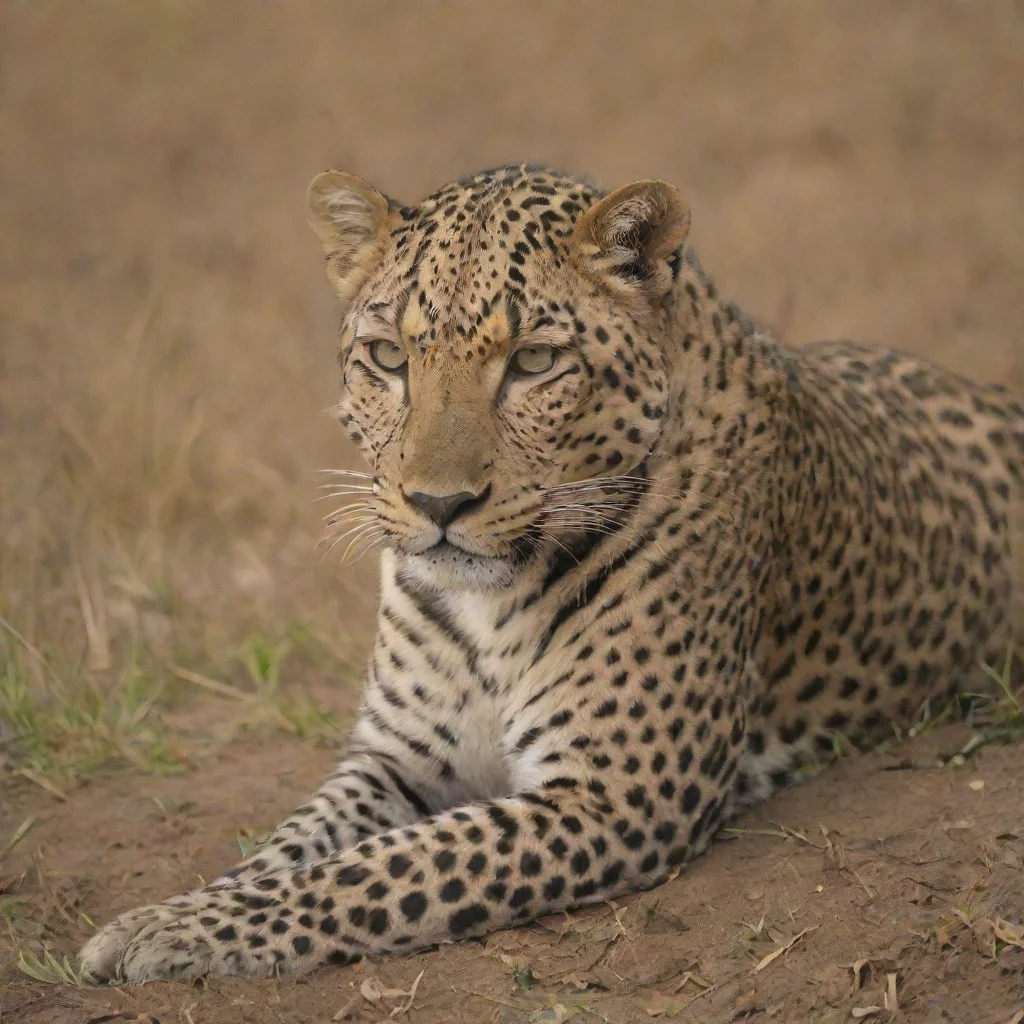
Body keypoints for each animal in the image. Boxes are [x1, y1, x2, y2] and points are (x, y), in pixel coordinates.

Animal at [79, 164, 1023, 983]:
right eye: (388, 358)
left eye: (534, 363)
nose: (439, 503)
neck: (487, 602)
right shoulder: (391, 760)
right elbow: (290, 846)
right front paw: (167, 913)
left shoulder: (614, 794)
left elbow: (379, 868)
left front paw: (177, 932)